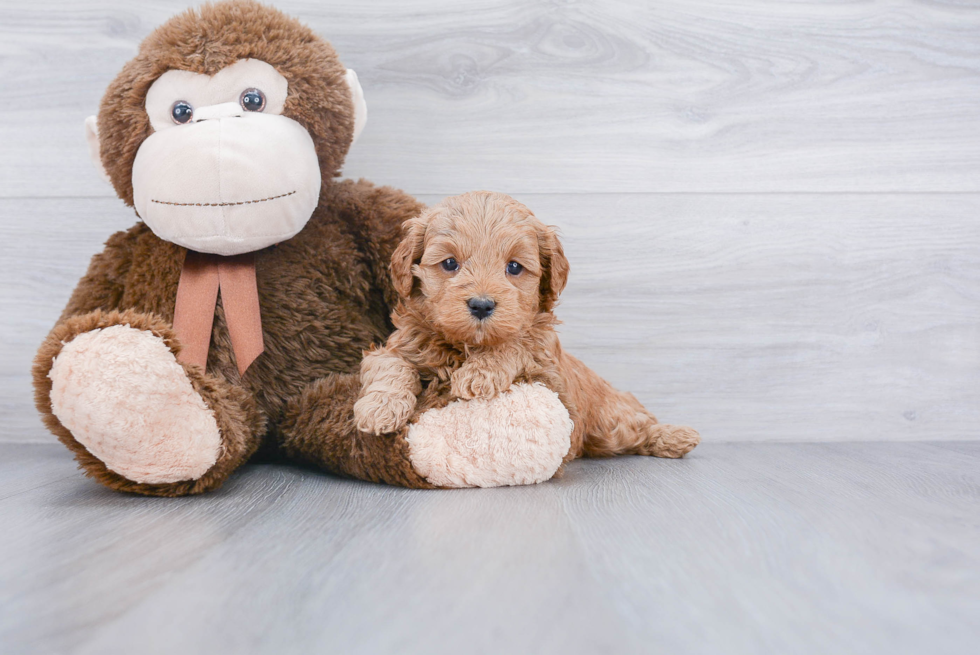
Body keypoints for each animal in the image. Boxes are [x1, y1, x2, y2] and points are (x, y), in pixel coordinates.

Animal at [356, 191, 700, 462]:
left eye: (514, 267)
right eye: (450, 263)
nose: (481, 305)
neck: (467, 346)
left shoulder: (548, 373)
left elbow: (517, 344)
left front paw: (480, 372)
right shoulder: (397, 346)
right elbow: (390, 366)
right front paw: (379, 408)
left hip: (612, 420)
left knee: (638, 425)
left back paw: (676, 436)